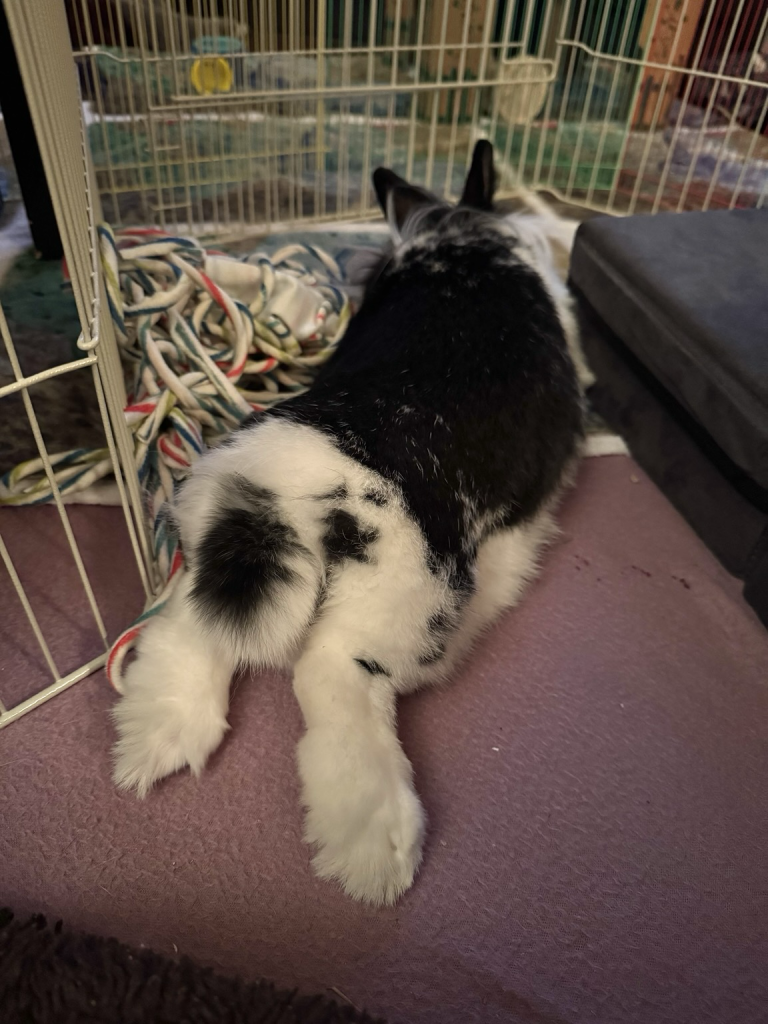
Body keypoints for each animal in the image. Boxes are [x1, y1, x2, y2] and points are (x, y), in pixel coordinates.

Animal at [111, 142, 581, 905]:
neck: (459, 245)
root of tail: (285, 486)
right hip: (406, 598)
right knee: (329, 672)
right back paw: (376, 847)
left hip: (216, 558)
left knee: (192, 623)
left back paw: (158, 735)